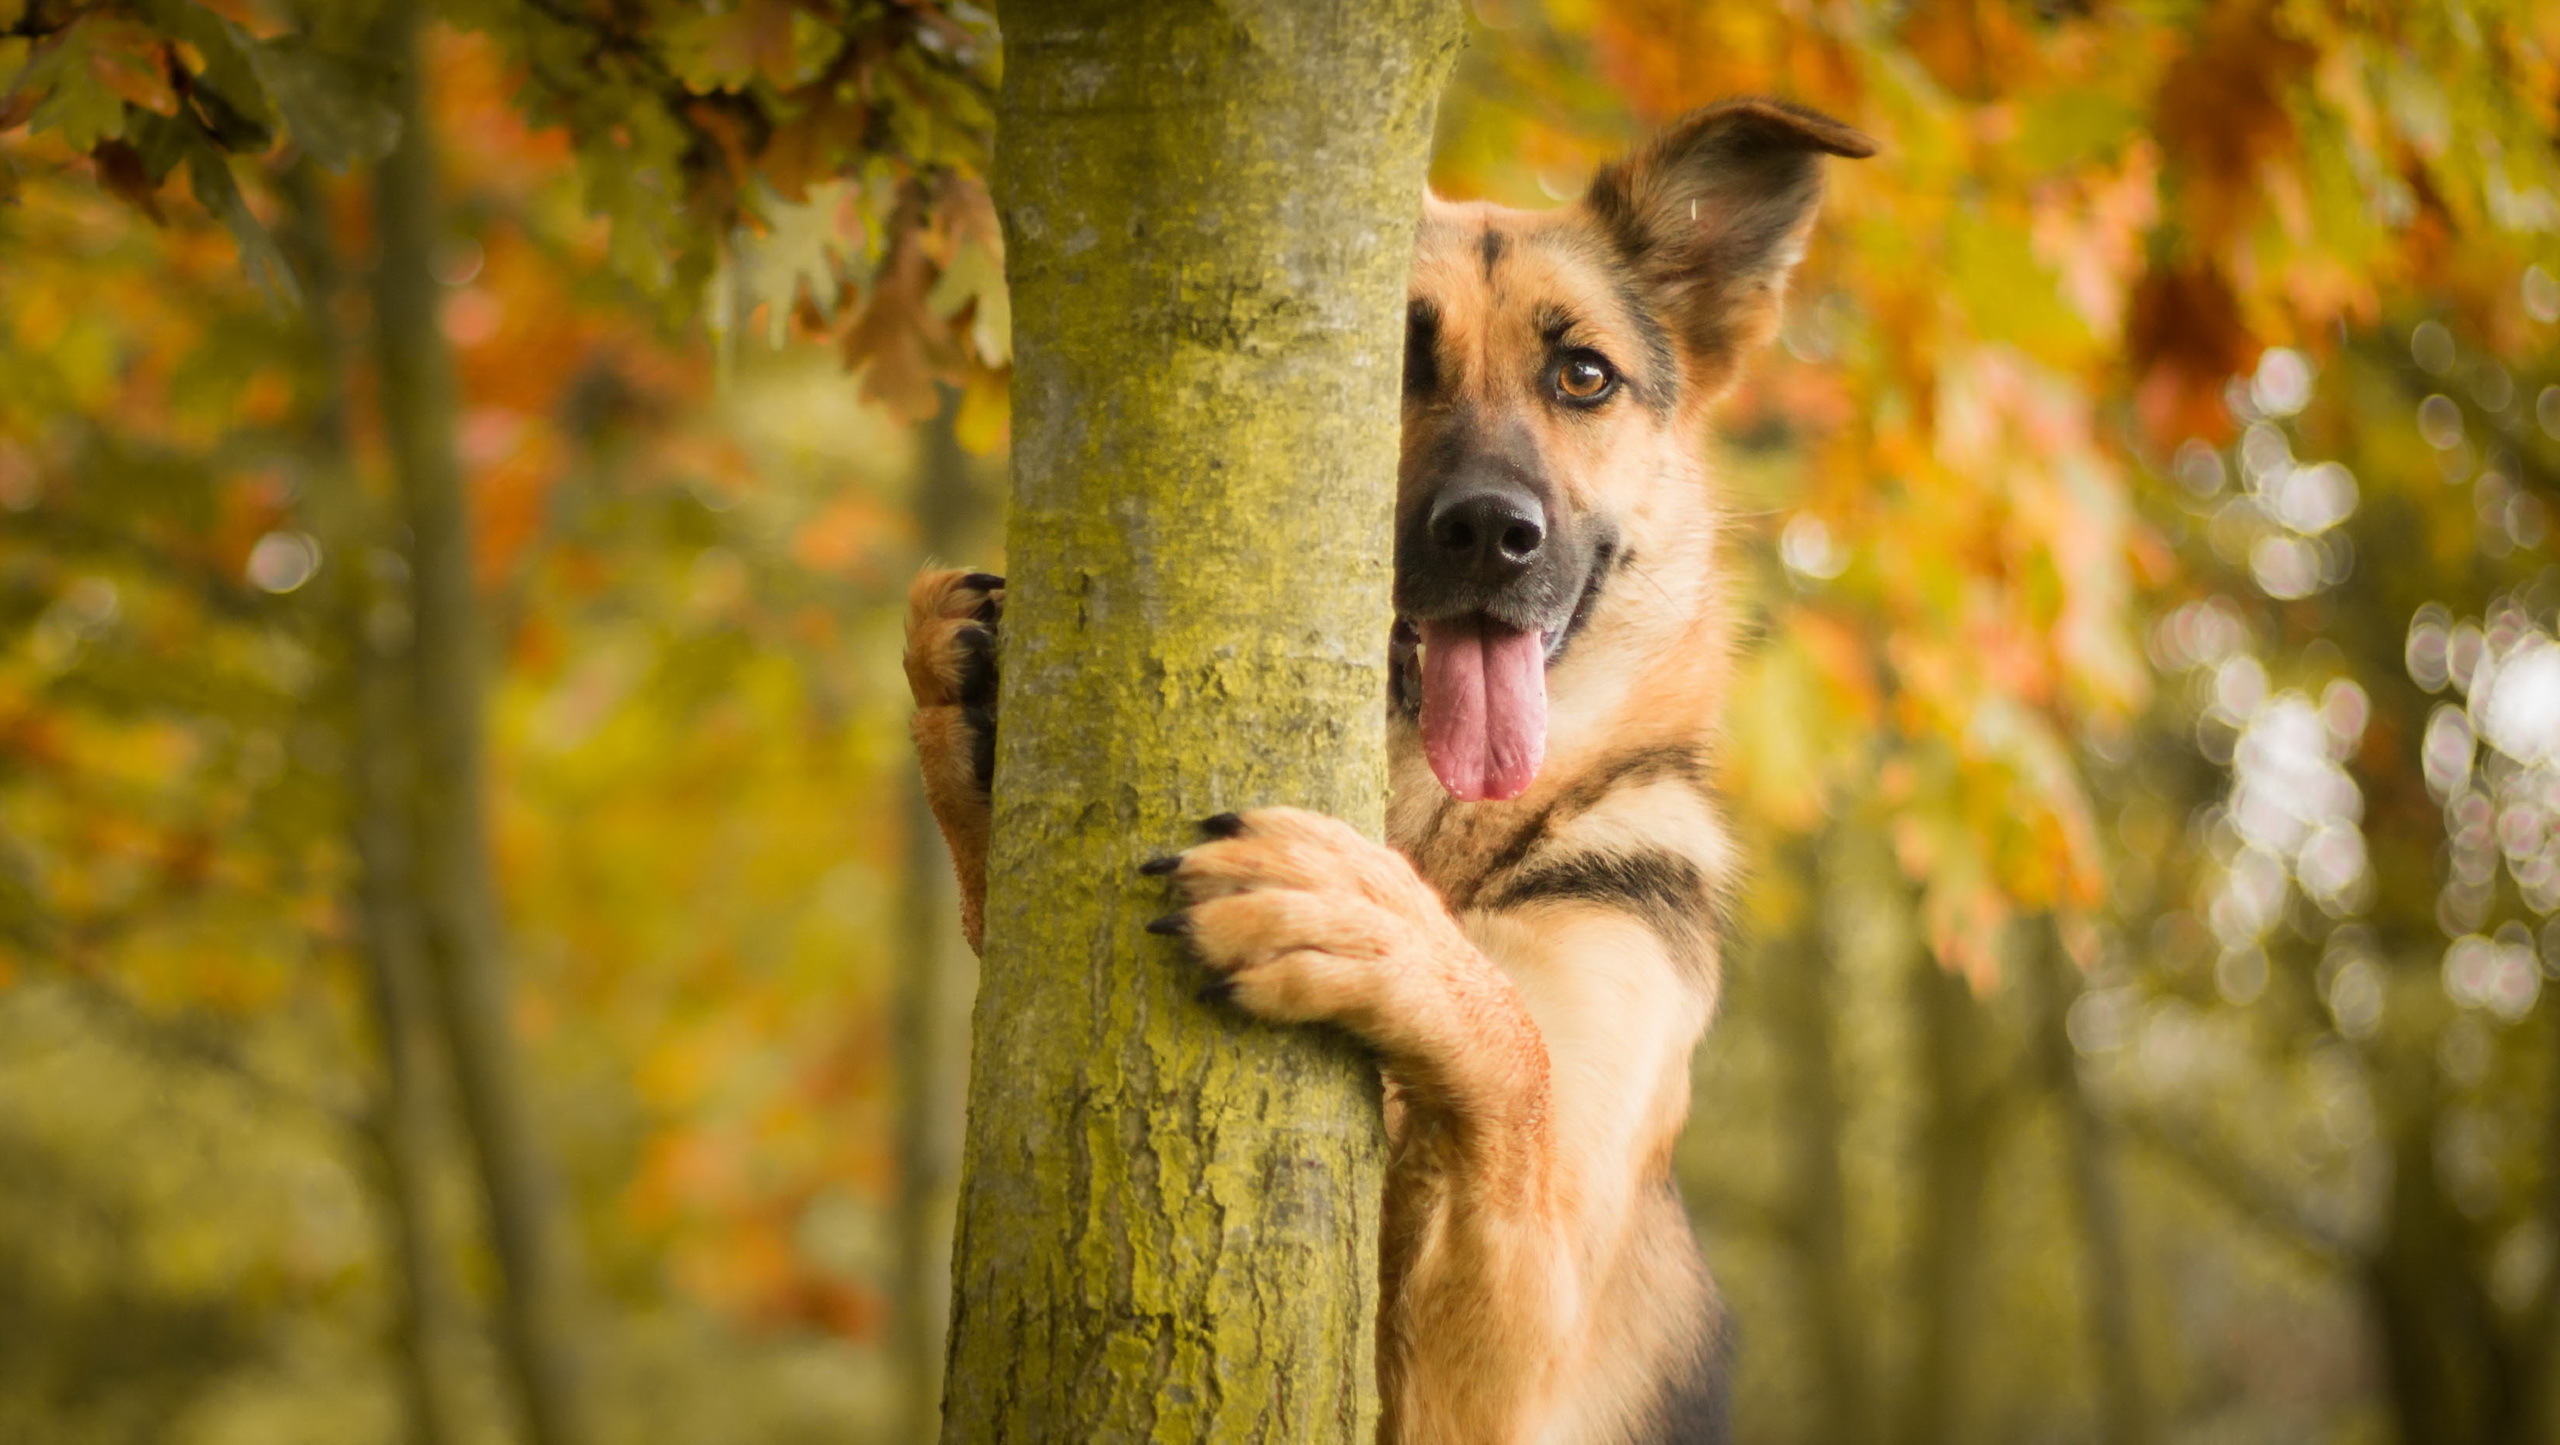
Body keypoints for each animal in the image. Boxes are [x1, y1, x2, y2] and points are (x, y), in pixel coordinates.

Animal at [911, 101, 1873, 1445]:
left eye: (1582, 376)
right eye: (1394, 368)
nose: (1491, 533)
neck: (1435, 824)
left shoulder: (1508, 1362)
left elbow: (1516, 1056)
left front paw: (1366, 920)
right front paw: (958, 693)